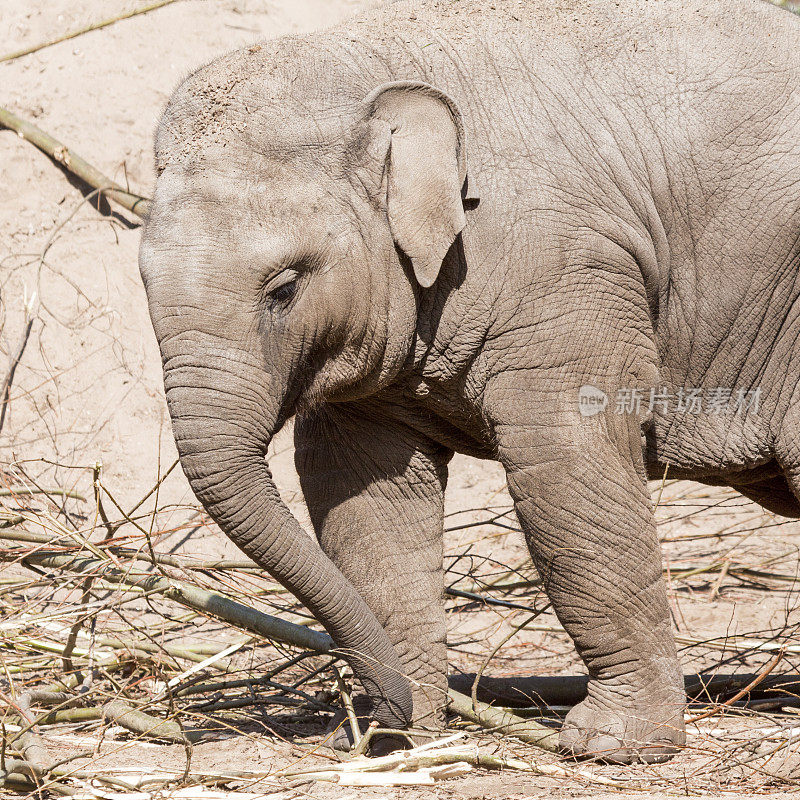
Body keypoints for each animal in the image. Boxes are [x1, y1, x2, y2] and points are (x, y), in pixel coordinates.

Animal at [141, 0, 800, 764]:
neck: (376, 63)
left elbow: (564, 467)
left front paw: (612, 748)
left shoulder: (567, 269)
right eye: (143, 281)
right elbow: (363, 493)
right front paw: (397, 738)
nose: (370, 717)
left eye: (283, 288)